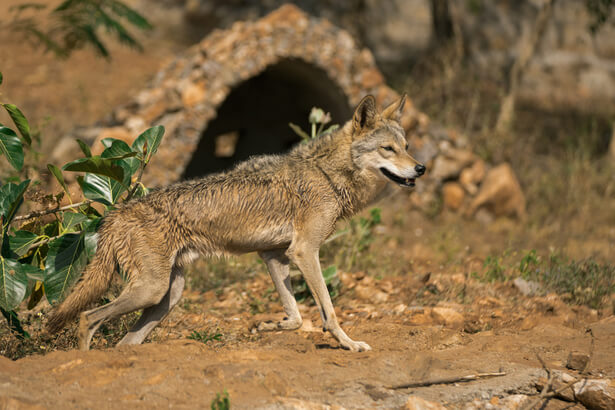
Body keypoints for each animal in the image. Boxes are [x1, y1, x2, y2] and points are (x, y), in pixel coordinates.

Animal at [45, 93, 426, 352]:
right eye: (388, 149)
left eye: (407, 146)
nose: (420, 168)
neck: (326, 174)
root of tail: (115, 214)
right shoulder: (305, 251)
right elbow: (328, 311)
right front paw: (348, 343)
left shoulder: (274, 255)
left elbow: (296, 316)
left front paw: (270, 325)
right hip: (150, 290)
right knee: (86, 319)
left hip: (167, 296)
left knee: (124, 342)